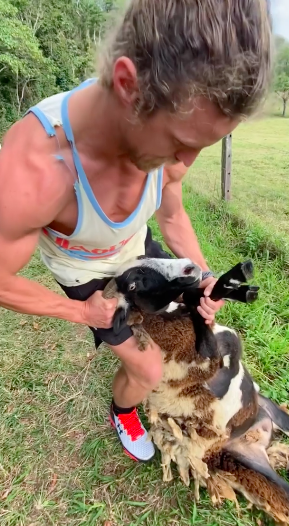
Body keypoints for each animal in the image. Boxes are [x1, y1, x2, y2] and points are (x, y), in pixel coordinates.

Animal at [104, 258, 289, 524]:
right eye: (132, 285)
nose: (189, 269)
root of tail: (261, 438)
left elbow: (197, 297)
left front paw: (234, 285)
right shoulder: (211, 357)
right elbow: (217, 337)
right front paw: (233, 284)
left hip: (275, 415)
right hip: (250, 460)